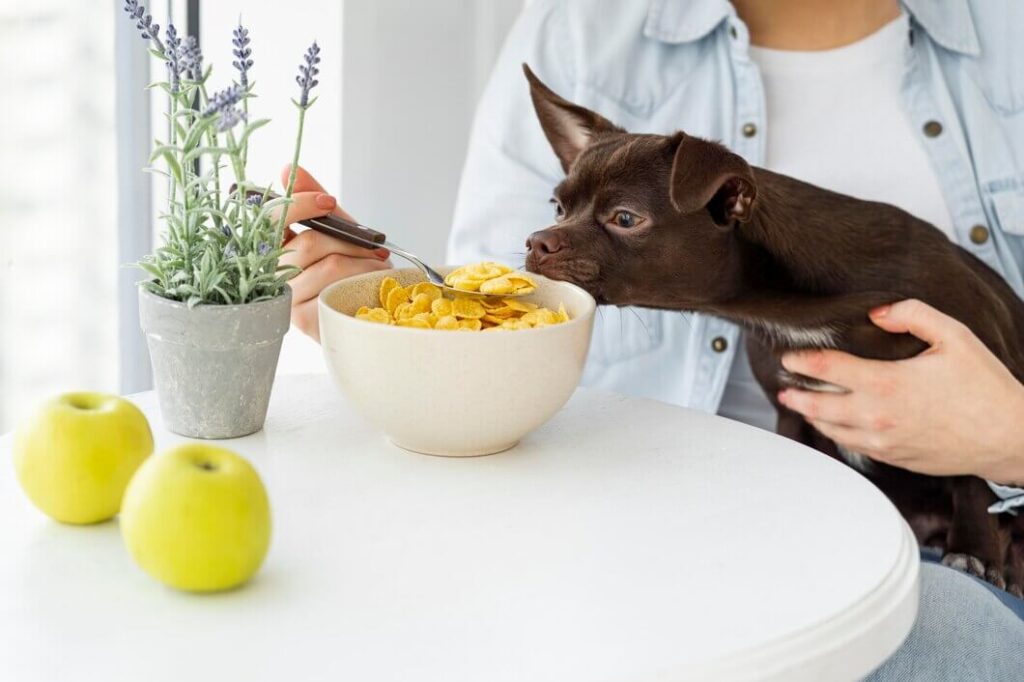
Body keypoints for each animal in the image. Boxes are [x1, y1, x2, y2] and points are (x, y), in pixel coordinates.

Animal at [520, 65, 1024, 593]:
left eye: (625, 218)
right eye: (557, 207)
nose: (537, 241)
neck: (785, 307)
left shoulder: (970, 383)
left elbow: (972, 475)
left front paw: (974, 552)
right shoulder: (792, 414)